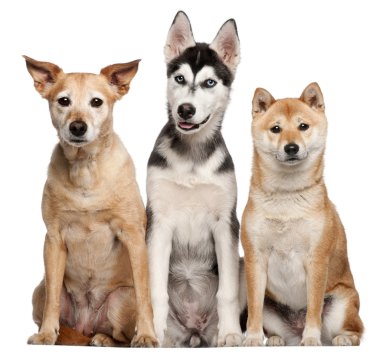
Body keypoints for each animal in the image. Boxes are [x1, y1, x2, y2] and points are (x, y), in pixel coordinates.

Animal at [24, 57, 157, 346]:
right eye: (63, 101)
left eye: (96, 102)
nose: (77, 126)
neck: (85, 166)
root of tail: (86, 326)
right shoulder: (53, 239)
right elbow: (52, 300)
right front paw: (46, 334)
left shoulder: (133, 235)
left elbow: (145, 296)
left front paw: (147, 335)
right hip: (39, 290)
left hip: (120, 299)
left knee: (117, 334)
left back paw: (105, 339)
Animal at [145, 10, 243, 344]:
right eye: (179, 79)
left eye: (209, 82)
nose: (185, 109)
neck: (191, 158)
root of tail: (194, 330)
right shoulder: (158, 221)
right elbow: (155, 290)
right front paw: (152, 335)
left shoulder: (226, 222)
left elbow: (228, 291)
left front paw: (231, 334)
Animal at [242, 82, 364, 344]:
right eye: (276, 128)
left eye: (303, 126)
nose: (291, 147)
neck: (287, 196)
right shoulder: (255, 258)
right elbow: (254, 308)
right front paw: (253, 338)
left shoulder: (316, 258)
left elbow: (314, 307)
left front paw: (311, 339)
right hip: (271, 307)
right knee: (278, 329)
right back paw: (275, 340)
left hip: (342, 302)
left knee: (356, 330)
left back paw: (341, 339)